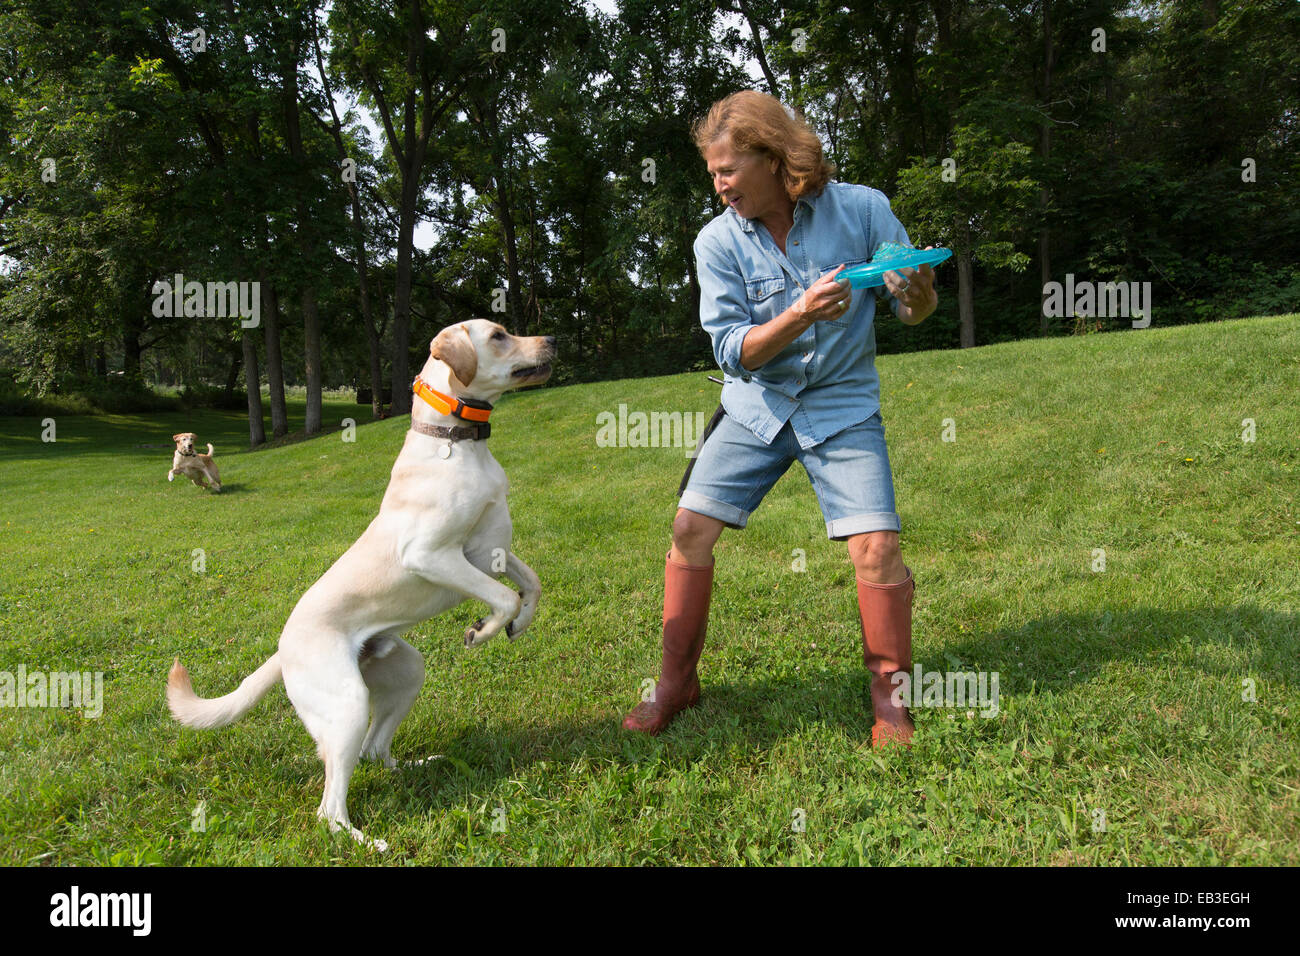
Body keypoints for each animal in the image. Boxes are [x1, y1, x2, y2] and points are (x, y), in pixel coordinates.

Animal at [165, 321, 551, 853]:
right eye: (498, 335)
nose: (553, 341)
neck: (456, 441)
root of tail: (282, 649)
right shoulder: (432, 555)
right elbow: (504, 596)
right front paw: (485, 630)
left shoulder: (489, 551)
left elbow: (529, 584)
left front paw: (519, 624)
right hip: (347, 706)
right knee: (328, 807)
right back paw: (368, 842)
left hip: (406, 675)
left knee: (374, 749)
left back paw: (413, 766)